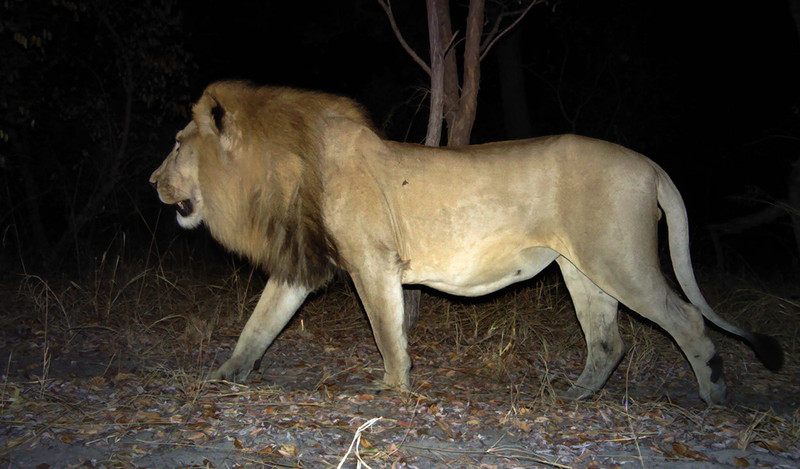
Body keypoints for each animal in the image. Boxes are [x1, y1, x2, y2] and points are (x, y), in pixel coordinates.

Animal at [150, 80, 782, 405]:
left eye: (178, 144)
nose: (153, 180)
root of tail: (650, 165)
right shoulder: (303, 263)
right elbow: (259, 323)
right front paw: (227, 376)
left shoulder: (373, 262)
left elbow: (386, 330)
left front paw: (392, 388)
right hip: (581, 268)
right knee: (608, 340)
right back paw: (573, 396)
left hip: (619, 260)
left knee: (685, 319)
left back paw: (713, 392)